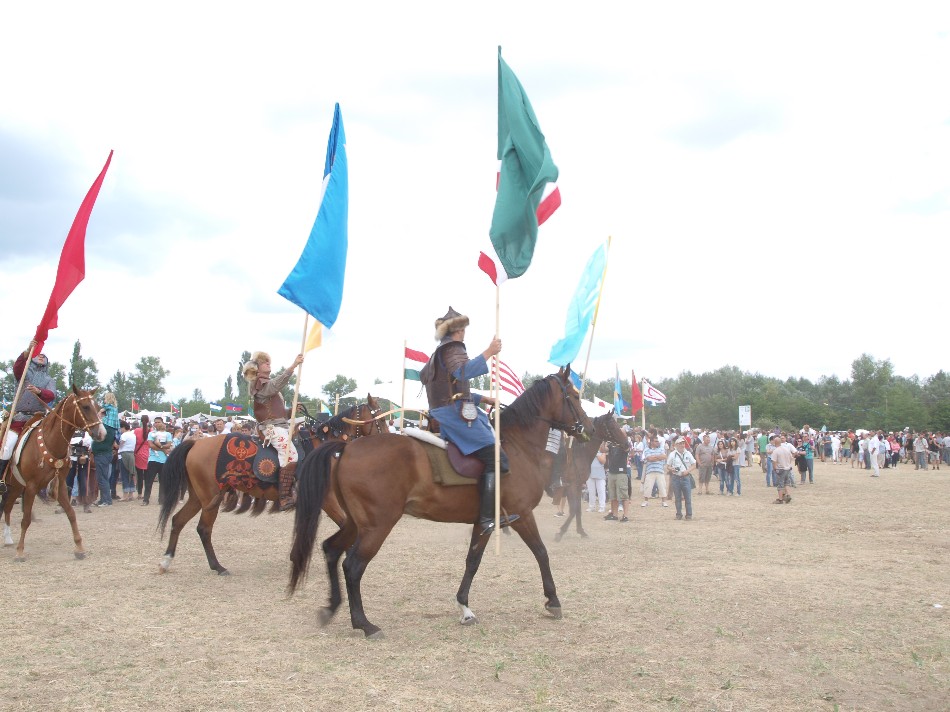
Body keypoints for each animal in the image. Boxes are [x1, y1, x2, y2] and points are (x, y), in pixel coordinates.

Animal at [1, 387, 107, 561]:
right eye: (85, 407)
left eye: (97, 407)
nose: (102, 433)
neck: (50, 443)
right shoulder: (31, 487)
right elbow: (26, 519)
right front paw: (20, 551)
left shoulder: (61, 484)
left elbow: (71, 513)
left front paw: (79, 548)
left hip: (15, 486)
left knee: (7, 507)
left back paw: (8, 538)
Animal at [156, 396, 386, 576]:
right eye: (381, 419)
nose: (387, 440)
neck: (321, 447)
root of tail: (196, 443)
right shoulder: (327, 500)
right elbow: (344, 524)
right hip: (210, 499)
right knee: (203, 529)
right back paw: (217, 566)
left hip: (198, 497)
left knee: (178, 521)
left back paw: (166, 561)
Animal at [287, 367, 593, 639]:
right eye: (573, 396)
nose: (587, 427)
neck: (516, 447)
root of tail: (347, 448)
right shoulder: (522, 515)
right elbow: (541, 552)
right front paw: (553, 600)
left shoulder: (483, 523)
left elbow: (472, 561)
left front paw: (464, 607)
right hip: (377, 526)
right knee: (352, 566)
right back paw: (365, 624)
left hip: (354, 523)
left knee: (331, 550)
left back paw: (331, 607)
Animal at [552, 413, 628, 542]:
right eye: (613, 427)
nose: (627, 443)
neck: (579, 452)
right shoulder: (572, 486)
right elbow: (574, 510)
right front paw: (561, 532)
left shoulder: (577, 486)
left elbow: (577, 509)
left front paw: (581, 531)